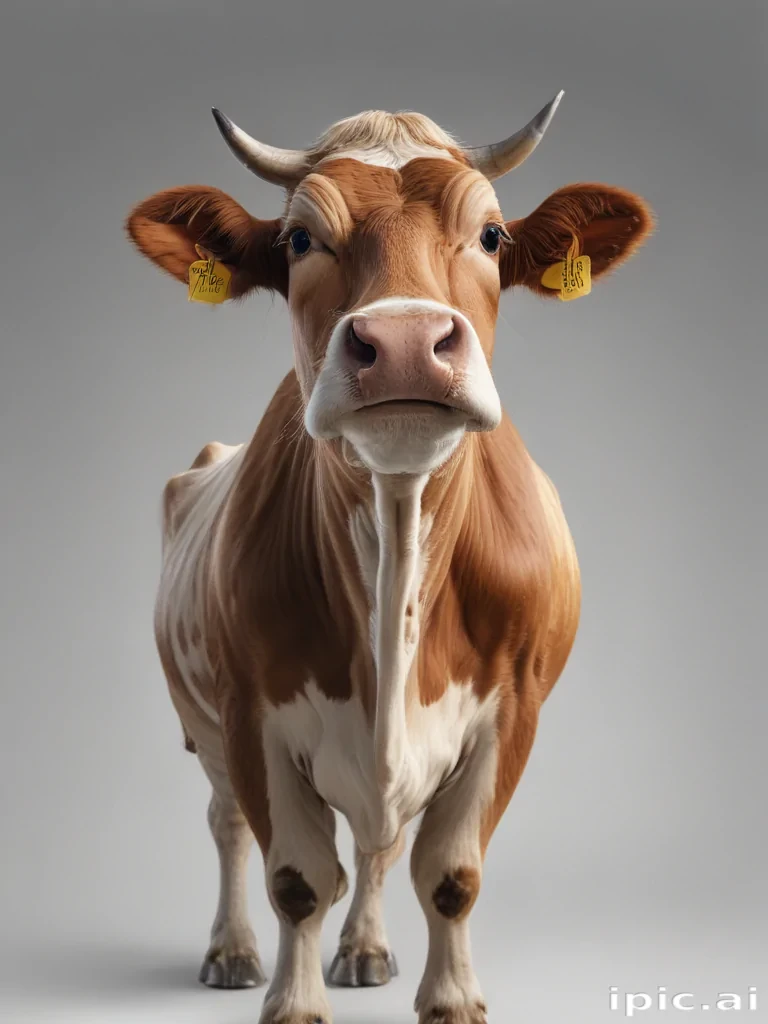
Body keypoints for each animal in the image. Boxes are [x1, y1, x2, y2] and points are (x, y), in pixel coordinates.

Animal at [125, 93, 653, 1024]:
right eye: (300, 238)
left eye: (491, 235)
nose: (405, 342)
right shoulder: (250, 714)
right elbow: (297, 878)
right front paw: (292, 1004)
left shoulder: (514, 712)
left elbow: (449, 873)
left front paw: (451, 999)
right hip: (202, 721)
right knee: (228, 825)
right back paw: (231, 953)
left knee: (378, 846)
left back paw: (366, 949)